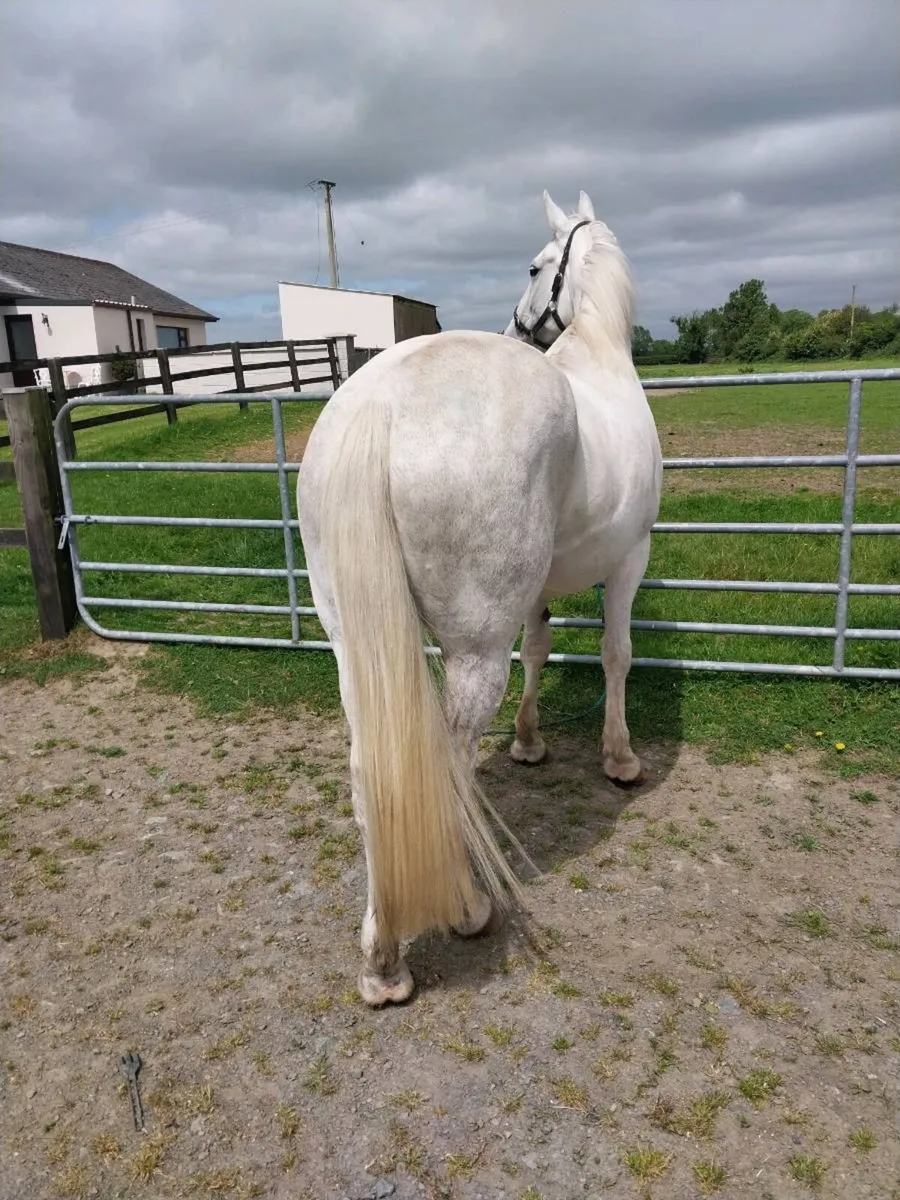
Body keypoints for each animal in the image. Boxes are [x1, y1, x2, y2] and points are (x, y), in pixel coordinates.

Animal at [296, 190, 662, 1006]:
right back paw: (456, 918)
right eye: (534, 263)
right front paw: (620, 759)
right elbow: (616, 654)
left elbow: (541, 649)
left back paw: (380, 957)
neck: (596, 352)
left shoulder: (534, 596)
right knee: (445, 771)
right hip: (469, 655)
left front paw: (528, 743)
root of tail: (382, 401)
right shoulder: (631, 558)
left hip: (354, 650)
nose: (516, 325)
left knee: (372, 773)